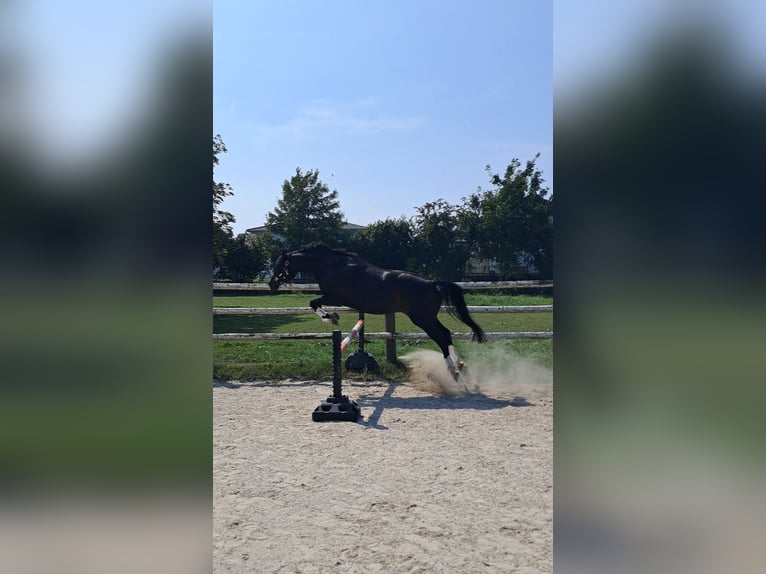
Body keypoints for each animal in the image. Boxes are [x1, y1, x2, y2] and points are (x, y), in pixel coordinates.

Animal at [268, 242, 486, 378]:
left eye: (280, 265)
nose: (271, 284)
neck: (332, 266)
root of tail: (432, 284)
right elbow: (314, 303)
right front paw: (332, 316)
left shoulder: (335, 297)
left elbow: (313, 303)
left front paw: (331, 317)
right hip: (427, 318)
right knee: (446, 334)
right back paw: (459, 364)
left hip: (422, 319)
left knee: (441, 336)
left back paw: (452, 369)